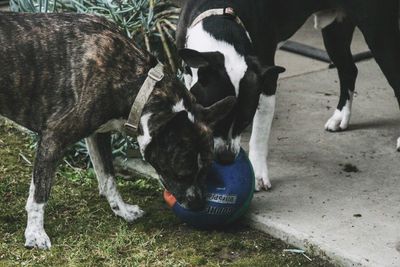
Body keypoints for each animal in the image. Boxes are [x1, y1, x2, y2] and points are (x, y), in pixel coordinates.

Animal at [0, 12, 236, 251]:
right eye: (181, 174)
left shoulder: (98, 134)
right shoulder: (53, 138)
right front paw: (35, 233)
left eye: (206, 170)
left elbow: (108, 177)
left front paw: (121, 210)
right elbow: (40, 193)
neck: (137, 82)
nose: (199, 205)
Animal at [177, 0, 400, 193]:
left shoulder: (266, 82)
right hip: (335, 32)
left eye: (246, 121)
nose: (226, 158)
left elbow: (259, 137)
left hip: (379, 36)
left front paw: (258, 175)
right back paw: (340, 116)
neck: (221, 18)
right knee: (348, 70)